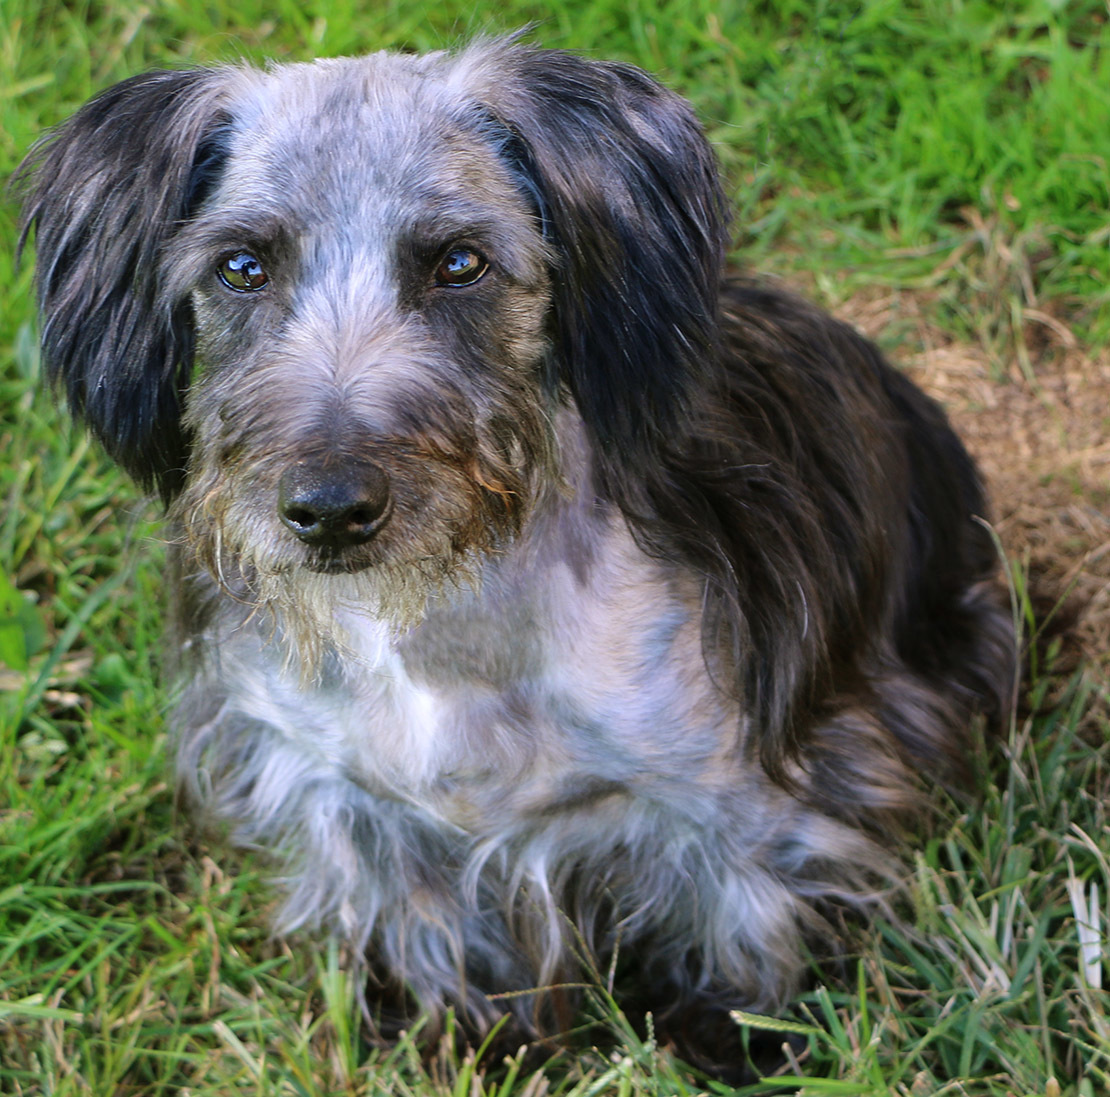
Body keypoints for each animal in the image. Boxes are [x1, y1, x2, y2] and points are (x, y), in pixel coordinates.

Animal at [17, 36, 1016, 1070]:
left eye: (462, 261)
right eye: (242, 267)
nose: (327, 511)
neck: (437, 626)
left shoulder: (745, 798)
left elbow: (749, 924)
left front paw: (737, 1041)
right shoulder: (357, 802)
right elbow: (432, 928)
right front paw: (465, 1035)